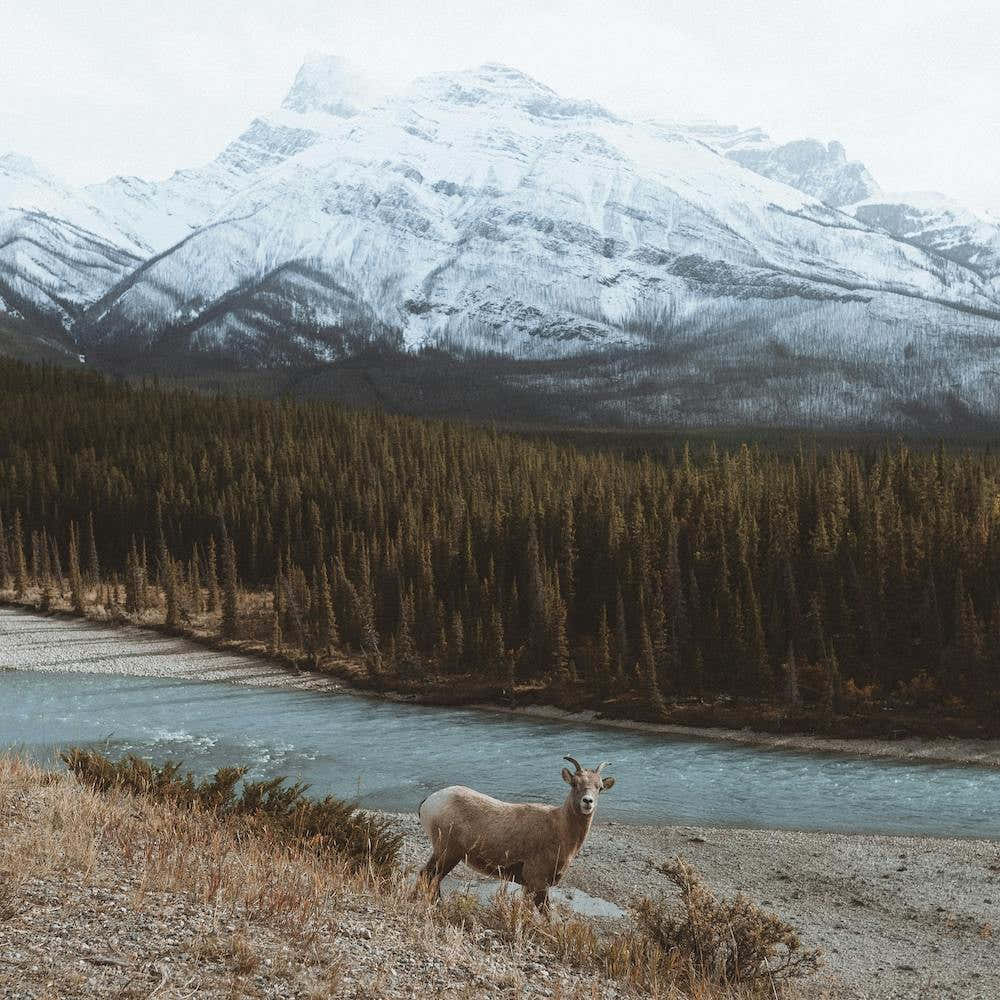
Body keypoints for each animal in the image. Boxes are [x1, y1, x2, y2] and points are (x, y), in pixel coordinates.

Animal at [417, 755, 615, 911]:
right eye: (575, 784)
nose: (587, 802)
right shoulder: (537, 882)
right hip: (447, 853)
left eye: (599, 787)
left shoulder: (529, 885)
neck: (560, 829)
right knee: (428, 876)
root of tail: (429, 801)